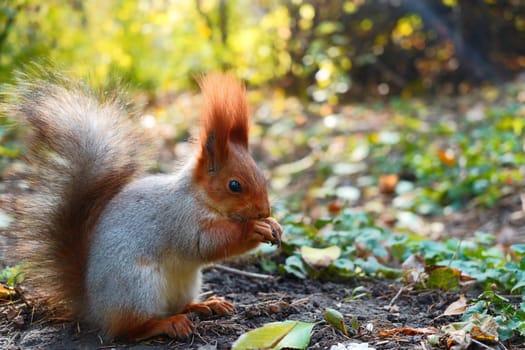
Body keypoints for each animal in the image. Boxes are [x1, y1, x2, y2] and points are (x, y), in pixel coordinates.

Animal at [3, 72, 282, 342]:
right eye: (234, 185)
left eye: (261, 175)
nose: (264, 211)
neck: (199, 197)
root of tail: (95, 309)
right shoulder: (179, 218)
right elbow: (206, 244)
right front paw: (254, 228)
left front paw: (273, 225)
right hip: (137, 287)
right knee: (131, 329)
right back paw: (169, 324)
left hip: (185, 284)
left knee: (174, 306)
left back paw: (204, 305)